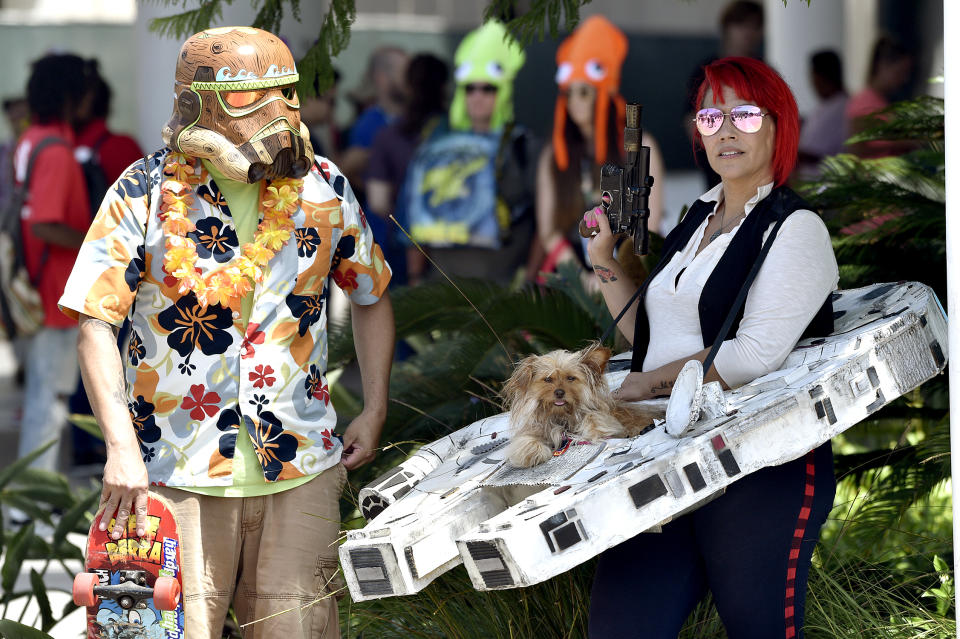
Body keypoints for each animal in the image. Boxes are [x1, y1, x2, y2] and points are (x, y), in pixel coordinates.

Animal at [498, 348, 664, 468]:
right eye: (548, 379)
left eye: (571, 378)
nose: (559, 392)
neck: (562, 417)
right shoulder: (534, 430)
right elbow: (525, 441)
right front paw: (534, 453)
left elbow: (594, 418)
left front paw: (594, 430)